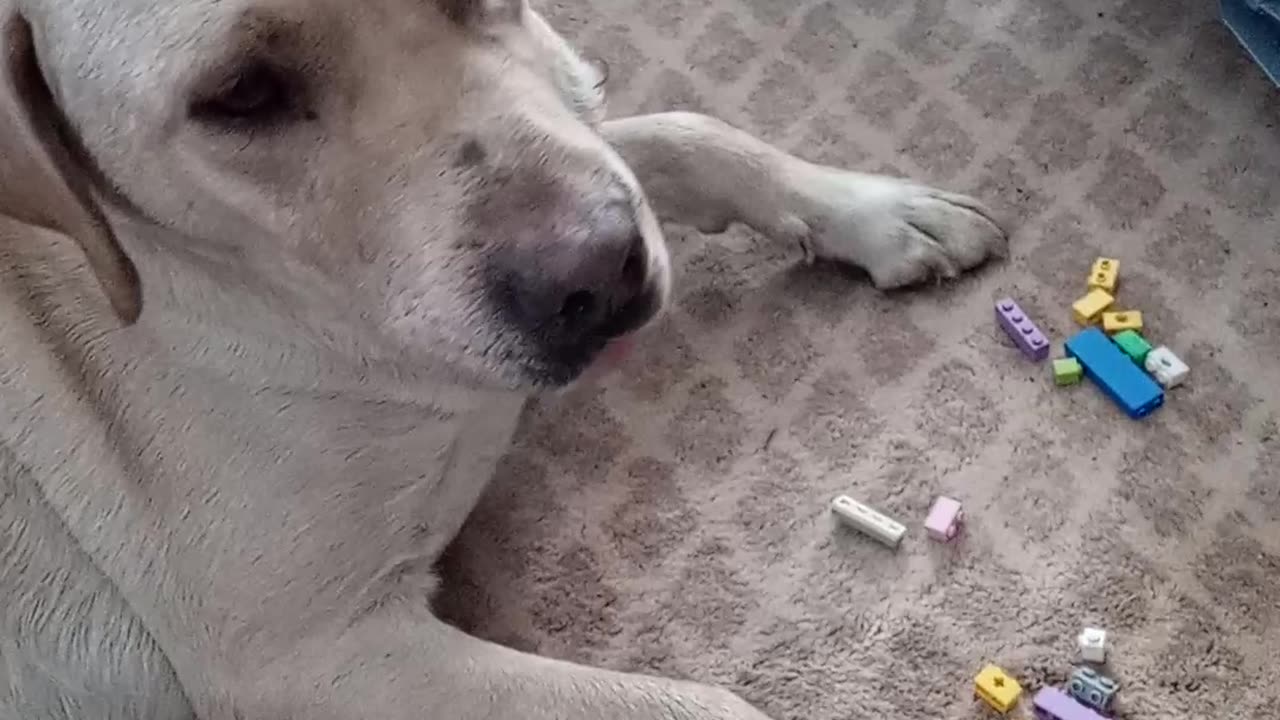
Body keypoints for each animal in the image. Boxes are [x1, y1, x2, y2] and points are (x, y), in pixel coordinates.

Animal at [0, 1, 1003, 717]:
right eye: (241, 92)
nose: (599, 278)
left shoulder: (584, 137)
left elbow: (684, 133)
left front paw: (873, 210)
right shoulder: (320, 660)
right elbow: (710, 707)